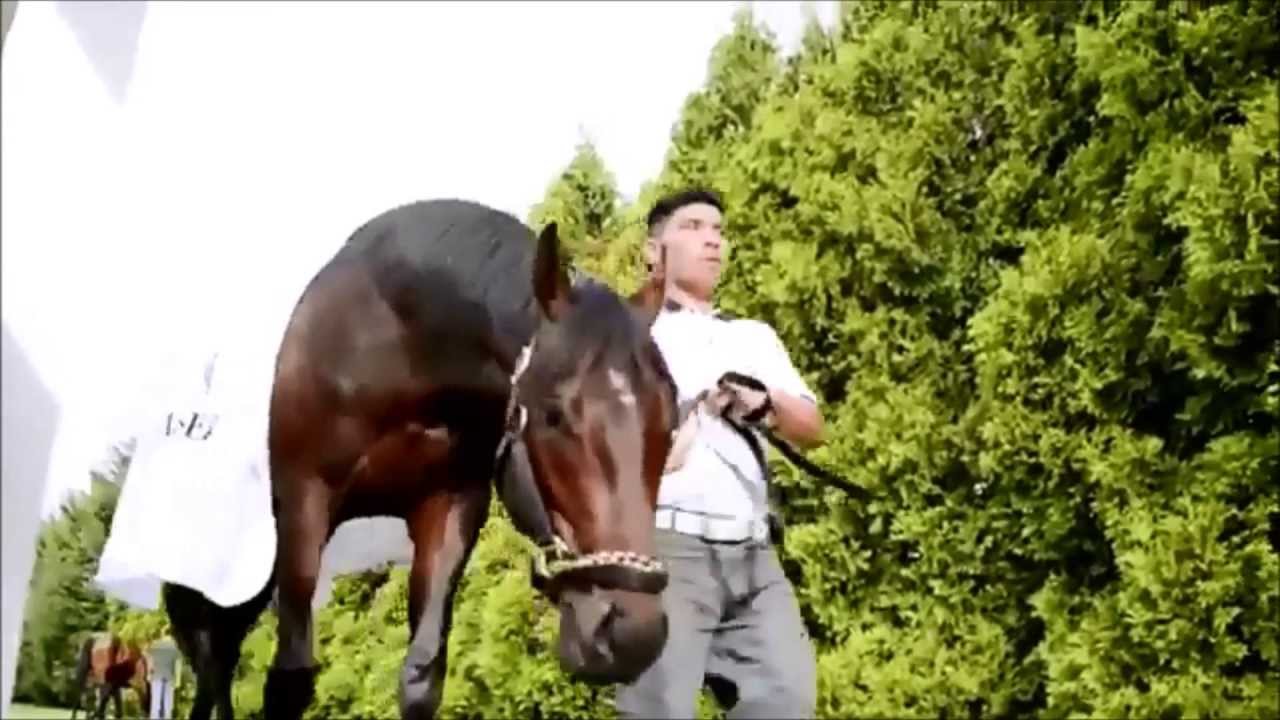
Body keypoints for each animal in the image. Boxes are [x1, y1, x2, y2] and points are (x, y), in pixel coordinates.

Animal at [161, 198, 678, 720]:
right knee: (210, 662)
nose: (632, 635)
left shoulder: (448, 506)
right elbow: (290, 677)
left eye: (671, 422)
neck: (392, 345)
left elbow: (421, 675)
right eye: (553, 415)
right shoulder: (304, 504)